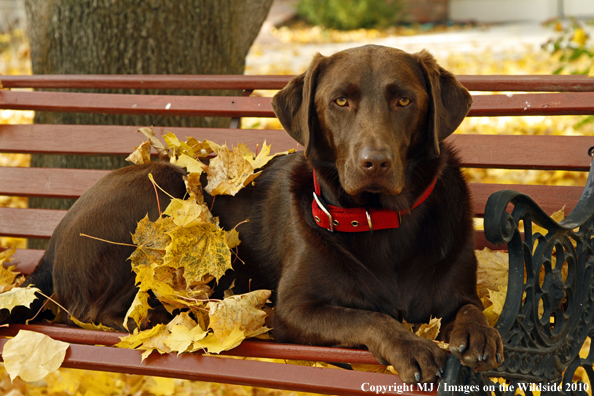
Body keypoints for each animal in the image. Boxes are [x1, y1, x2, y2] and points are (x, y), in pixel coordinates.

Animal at [17, 45, 500, 384]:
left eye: (404, 101)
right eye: (340, 102)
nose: (374, 162)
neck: (382, 222)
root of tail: (49, 248)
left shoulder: (459, 293)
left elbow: (472, 309)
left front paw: (477, 333)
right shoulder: (295, 308)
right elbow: (368, 317)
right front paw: (410, 345)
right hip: (158, 185)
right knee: (97, 311)